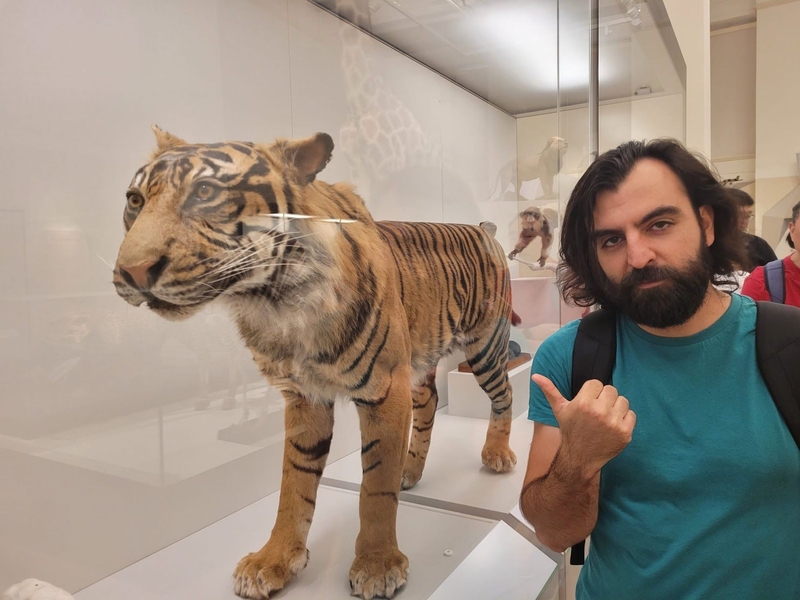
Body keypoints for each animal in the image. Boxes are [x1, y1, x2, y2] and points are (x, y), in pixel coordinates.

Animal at [112, 127, 520, 600]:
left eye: (206, 192)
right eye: (135, 199)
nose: (133, 271)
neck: (275, 302)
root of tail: (484, 228)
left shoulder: (384, 389)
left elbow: (374, 487)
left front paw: (377, 564)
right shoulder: (304, 398)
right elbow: (294, 482)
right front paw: (272, 560)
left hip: (485, 345)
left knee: (505, 393)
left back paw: (496, 453)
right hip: (420, 362)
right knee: (431, 402)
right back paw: (411, 470)